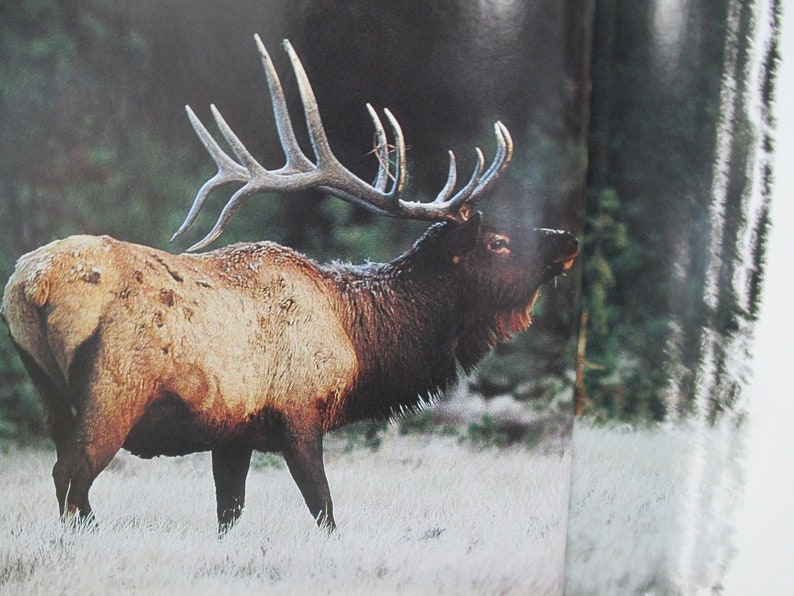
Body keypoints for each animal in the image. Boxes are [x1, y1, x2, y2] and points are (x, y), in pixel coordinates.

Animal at [1, 37, 578, 535]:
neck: (358, 342)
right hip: (114, 390)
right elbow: (324, 510)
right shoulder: (300, 413)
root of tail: (29, 285)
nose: (568, 239)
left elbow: (229, 515)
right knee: (72, 476)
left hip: (48, 390)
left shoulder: (233, 434)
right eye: (498, 242)